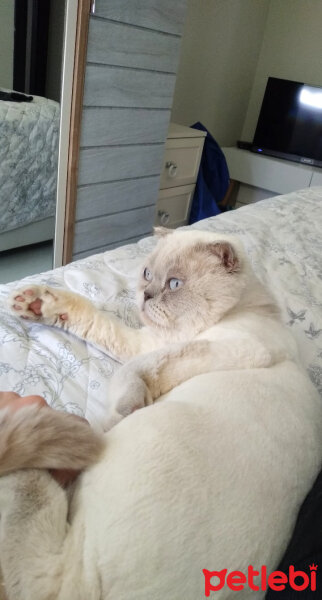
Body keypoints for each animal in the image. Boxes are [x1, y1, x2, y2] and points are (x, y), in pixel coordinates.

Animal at [0, 227, 322, 596]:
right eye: (147, 275)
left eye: (174, 284)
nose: (145, 295)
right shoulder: (151, 342)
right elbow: (99, 323)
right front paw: (34, 303)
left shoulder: (231, 348)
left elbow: (135, 372)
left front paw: (122, 409)